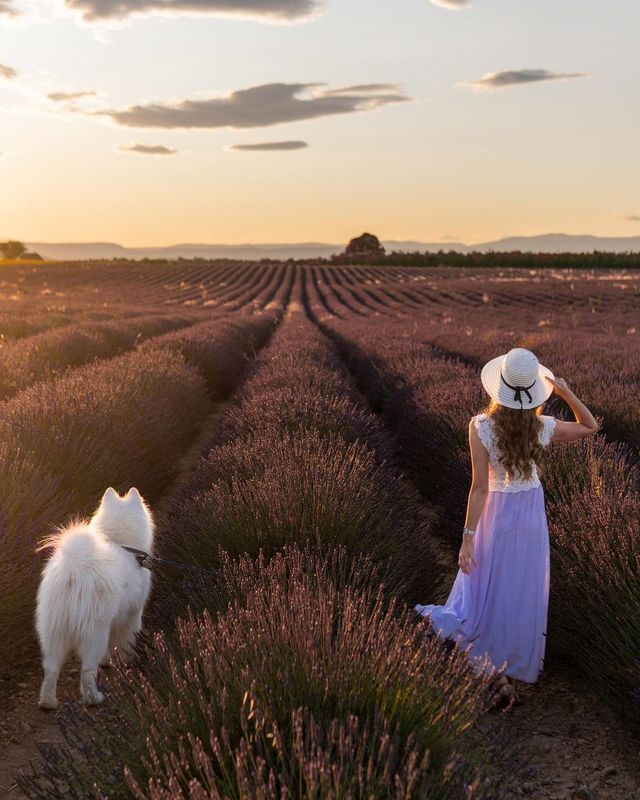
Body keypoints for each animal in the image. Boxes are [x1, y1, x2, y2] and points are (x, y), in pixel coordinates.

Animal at [35, 484, 154, 708]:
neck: (121, 543)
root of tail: (74, 572)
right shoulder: (133, 614)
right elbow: (127, 641)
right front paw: (129, 661)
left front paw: (108, 662)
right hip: (94, 632)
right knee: (87, 671)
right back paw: (94, 698)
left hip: (53, 633)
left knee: (51, 670)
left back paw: (48, 702)